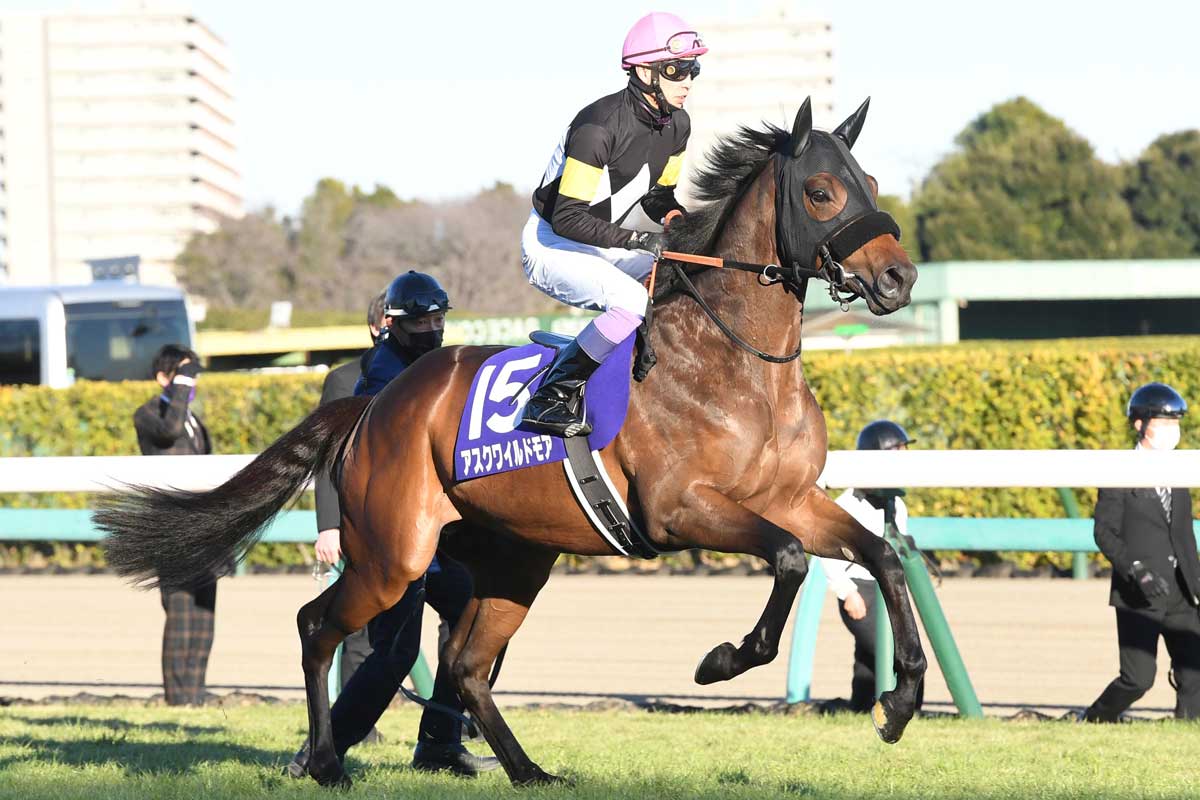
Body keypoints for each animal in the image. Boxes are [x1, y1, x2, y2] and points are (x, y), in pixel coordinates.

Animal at [99, 96, 925, 788]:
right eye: (822, 192)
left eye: (871, 179)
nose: (899, 277)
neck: (740, 365)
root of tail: (374, 405)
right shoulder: (679, 510)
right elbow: (787, 560)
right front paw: (721, 660)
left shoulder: (790, 498)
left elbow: (880, 557)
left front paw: (902, 698)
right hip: (394, 555)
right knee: (318, 626)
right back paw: (327, 761)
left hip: (517, 557)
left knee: (465, 665)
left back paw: (528, 771)